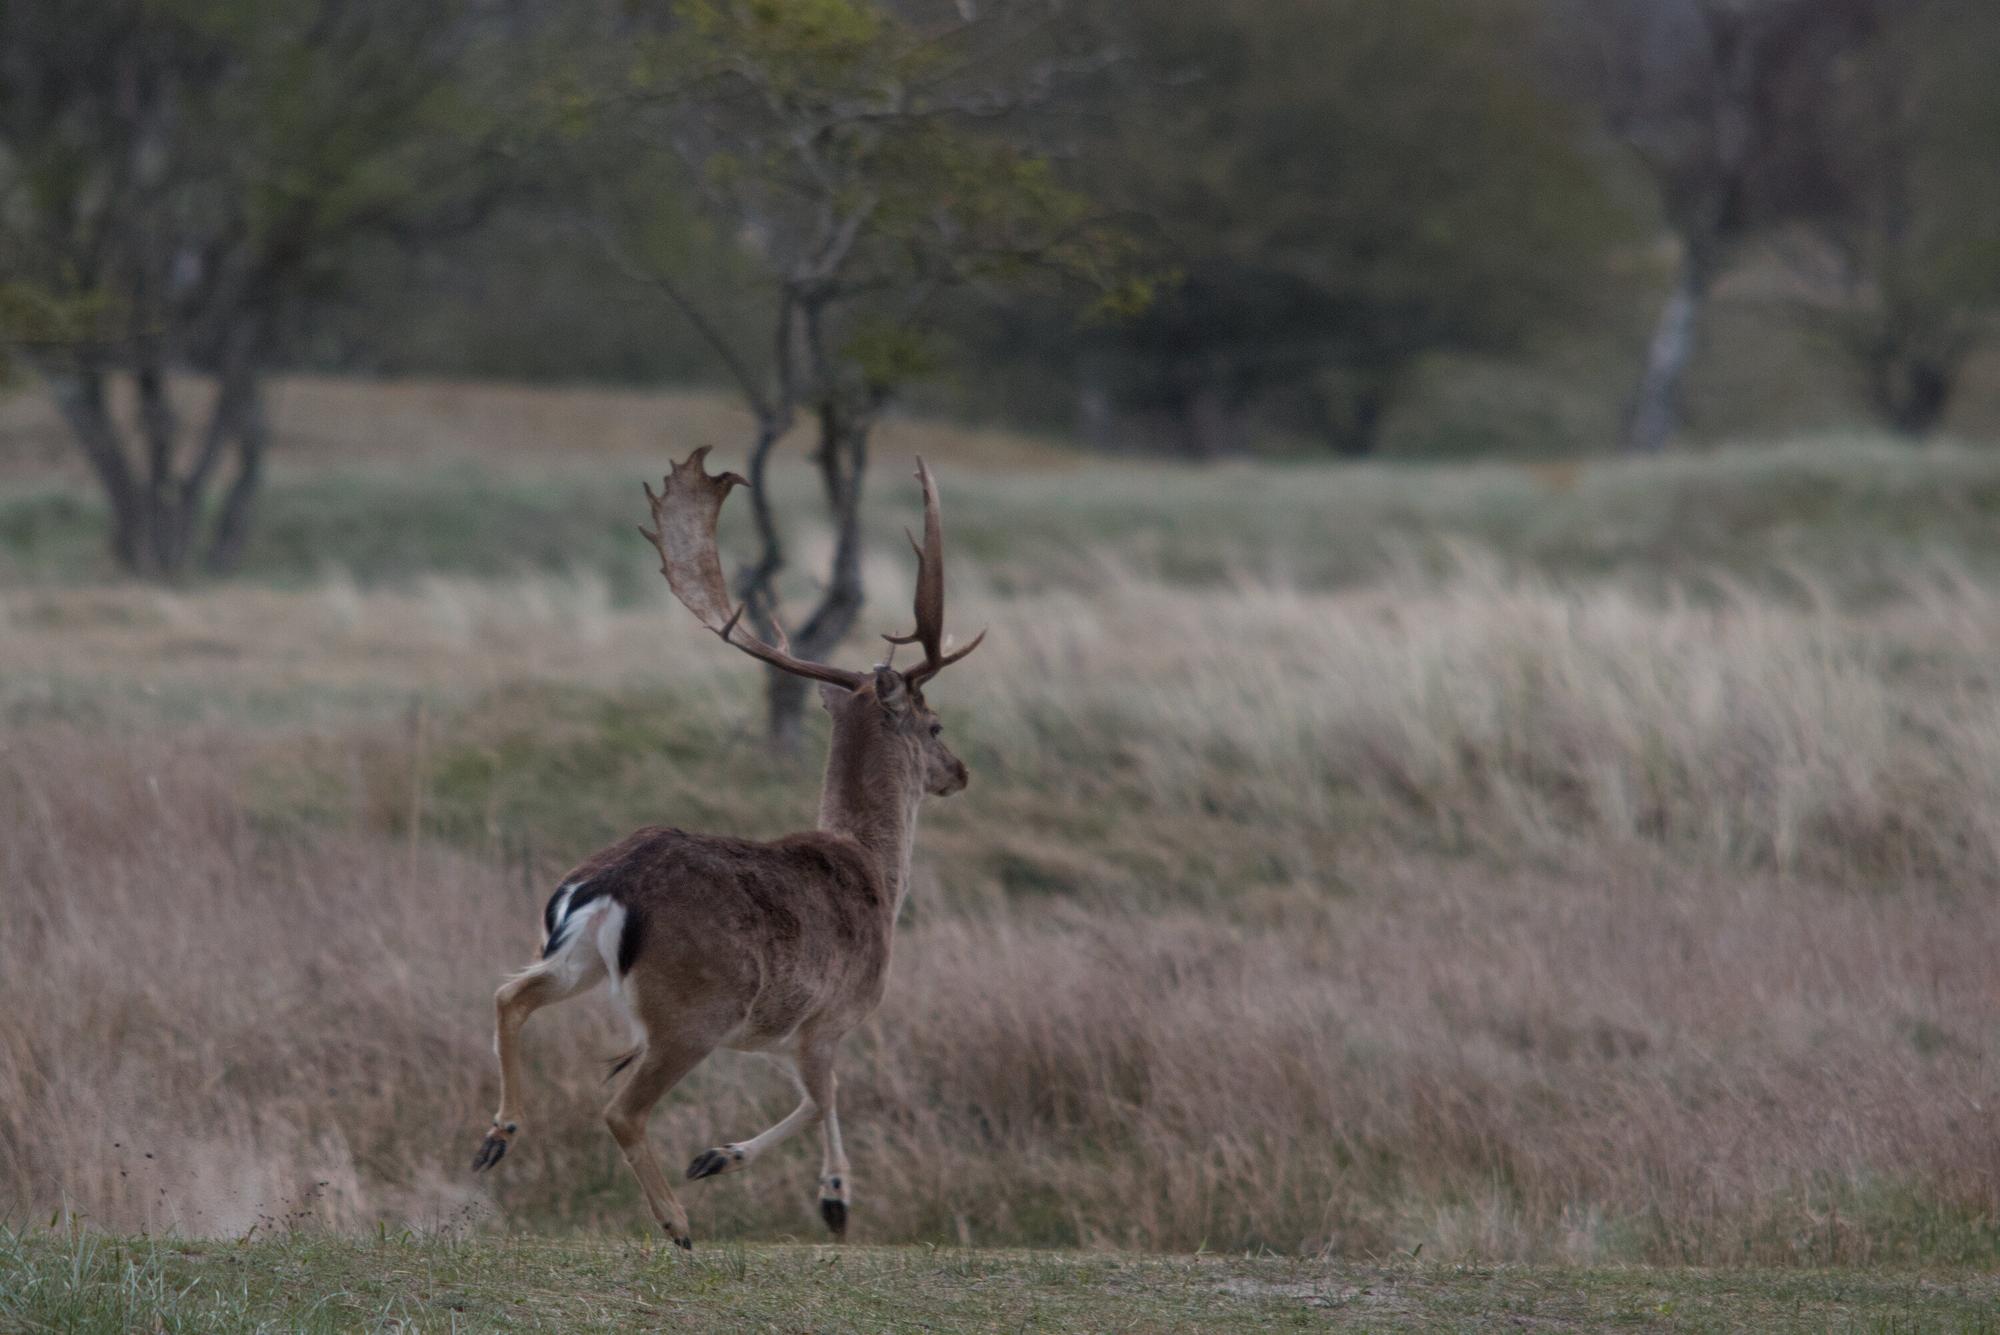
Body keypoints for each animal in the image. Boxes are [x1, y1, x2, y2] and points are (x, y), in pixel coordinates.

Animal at [469, 446, 982, 1250]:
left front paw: (775, 1175)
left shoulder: (787, 1033)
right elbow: (826, 1096)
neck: (876, 876)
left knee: (509, 993)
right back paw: (677, 1221)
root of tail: (605, 886)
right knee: (621, 1107)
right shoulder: (830, 1017)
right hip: (692, 1010)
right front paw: (814, 1191)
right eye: (934, 724)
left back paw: (498, 1135)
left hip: (580, 960)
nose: (960, 771)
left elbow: (822, 1098)